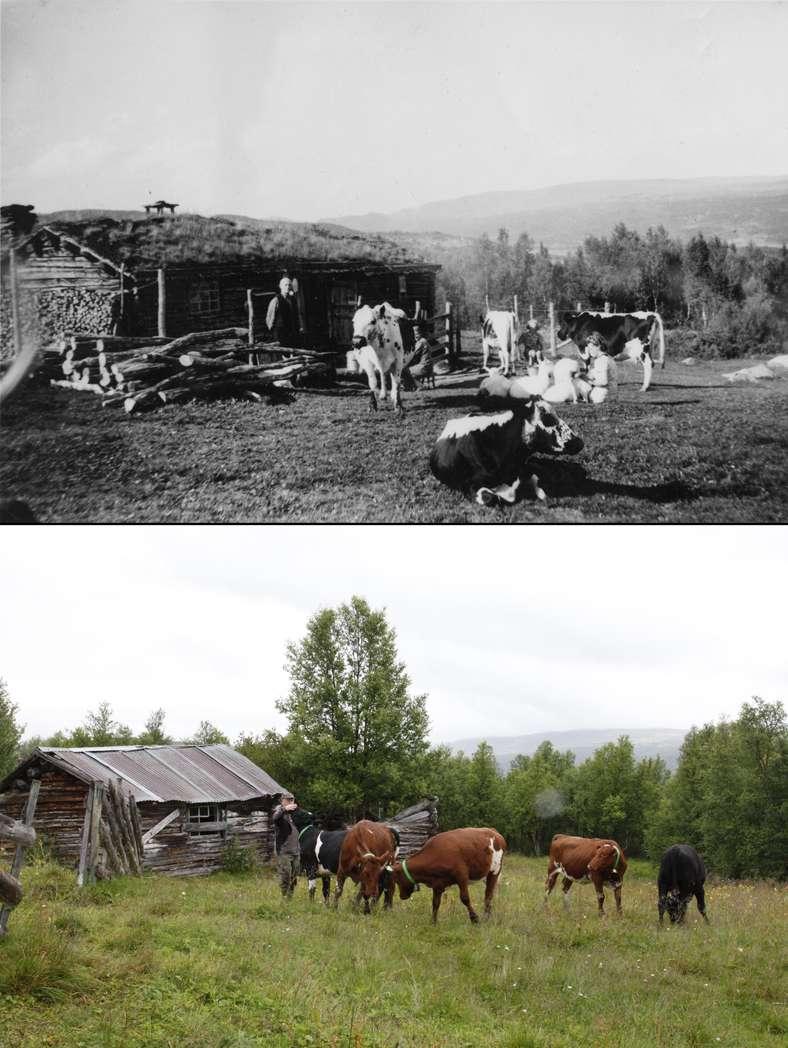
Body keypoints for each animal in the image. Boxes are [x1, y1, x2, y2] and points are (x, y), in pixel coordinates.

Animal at [427, 394, 582, 505]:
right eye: (546, 417)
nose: (579, 442)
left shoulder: (524, 467)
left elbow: (539, 484)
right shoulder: (467, 485)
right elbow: (490, 498)